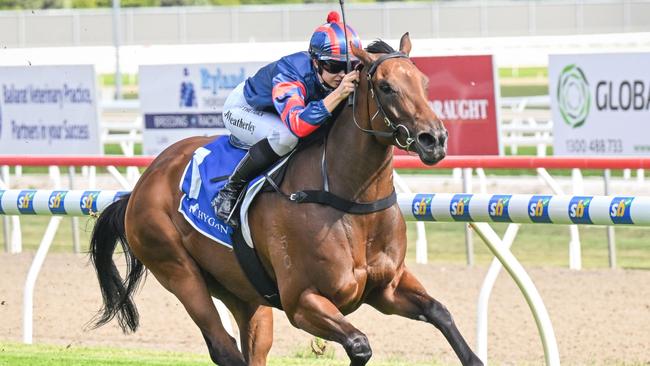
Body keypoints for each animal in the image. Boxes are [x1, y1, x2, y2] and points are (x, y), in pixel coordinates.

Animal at [88, 33, 478, 364]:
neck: (351, 200)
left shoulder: (388, 288)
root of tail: (142, 183)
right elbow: (359, 344)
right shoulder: (302, 301)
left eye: (424, 83)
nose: (434, 139)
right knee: (224, 347)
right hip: (178, 271)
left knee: (252, 348)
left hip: (243, 292)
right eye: (386, 87)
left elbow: (440, 312)